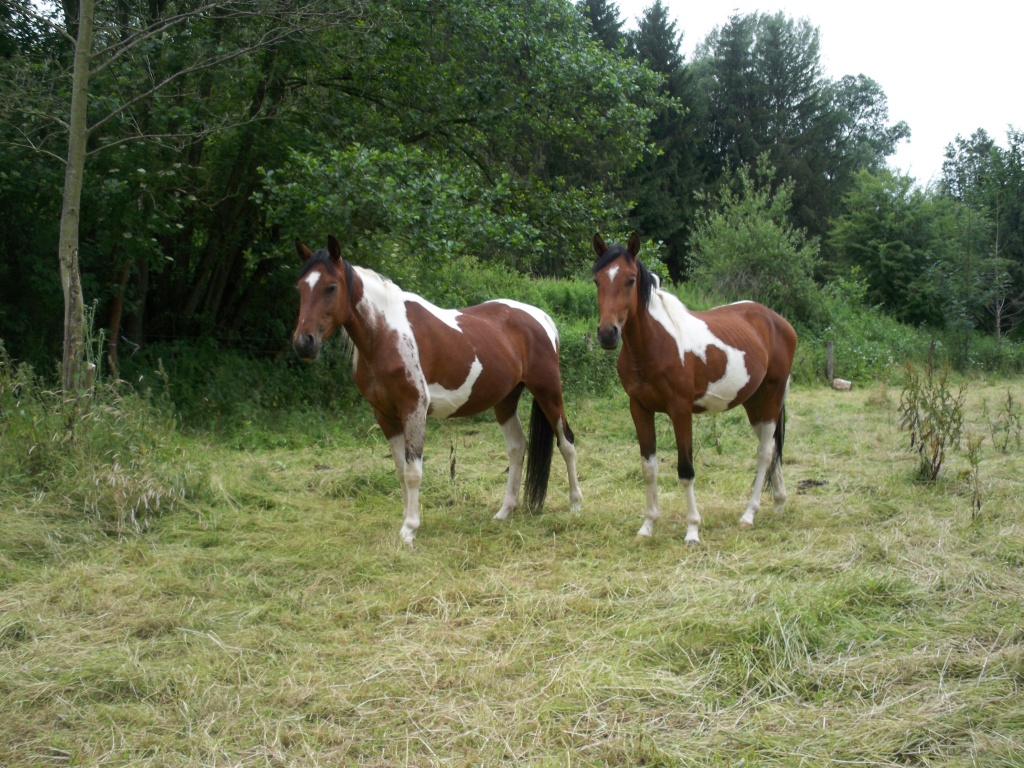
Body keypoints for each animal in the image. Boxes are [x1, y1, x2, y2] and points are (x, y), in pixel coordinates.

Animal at [292, 235, 583, 545]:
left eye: (331, 287)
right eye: (300, 287)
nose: (304, 343)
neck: (386, 335)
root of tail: (541, 317)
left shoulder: (414, 408)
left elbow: (413, 471)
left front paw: (410, 529)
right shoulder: (384, 415)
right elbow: (400, 470)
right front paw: (405, 522)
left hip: (547, 390)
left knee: (566, 442)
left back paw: (575, 504)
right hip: (506, 400)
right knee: (517, 448)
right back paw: (505, 511)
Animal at [592, 233, 797, 545]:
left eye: (630, 279)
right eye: (597, 280)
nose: (607, 334)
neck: (654, 345)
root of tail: (779, 322)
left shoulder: (680, 410)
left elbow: (686, 469)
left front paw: (692, 530)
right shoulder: (639, 409)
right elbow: (648, 468)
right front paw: (648, 526)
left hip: (772, 396)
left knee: (764, 452)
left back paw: (749, 514)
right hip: (754, 403)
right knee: (772, 447)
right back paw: (779, 503)